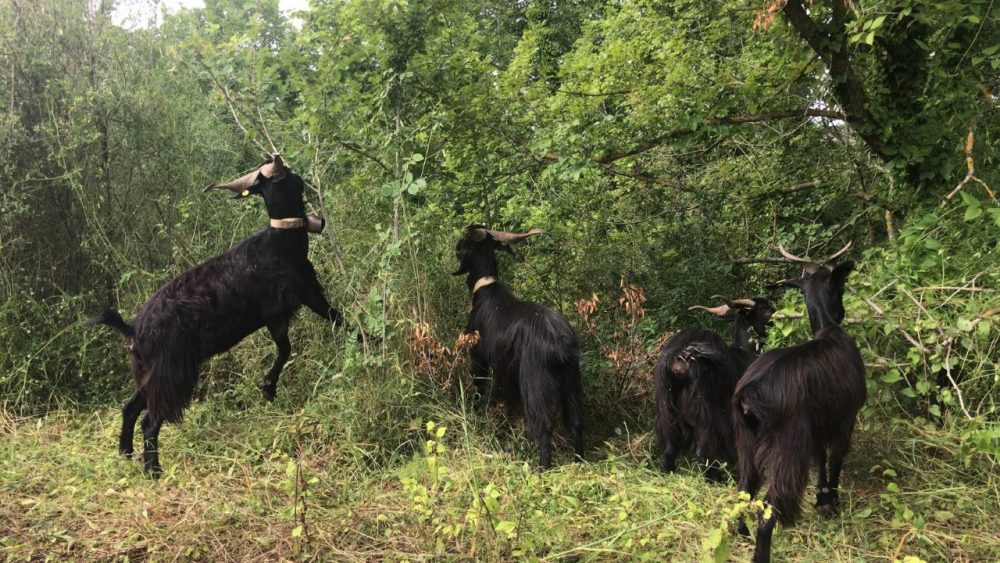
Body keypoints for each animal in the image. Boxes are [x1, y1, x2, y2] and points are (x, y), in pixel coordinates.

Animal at [90, 156, 348, 478]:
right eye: (286, 176)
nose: (277, 158)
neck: (280, 244)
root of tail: (134, 327)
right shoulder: (277, 312)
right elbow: (286, 349)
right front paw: (269, 387)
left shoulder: (310, 294)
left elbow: (339, 319)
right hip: (172, 372)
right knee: (150, 421)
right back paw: (153, 470)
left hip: (149, 372)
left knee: (130, 407)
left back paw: (125, 453)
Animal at [456, 226, 584, 472]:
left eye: (465, 241)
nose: (456, 247)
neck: (485, 289)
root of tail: (562, 342)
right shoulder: (507, 373)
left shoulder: (480, 360)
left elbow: (479, 390)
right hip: (572, 383)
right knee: (576, 422)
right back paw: (580, 461)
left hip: (535, 383)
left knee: (544, 425)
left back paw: (543, 468)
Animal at [652, 300, 776, 480]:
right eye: (766, 310)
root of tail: (679, 360)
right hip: (706, 413)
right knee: (704, 449)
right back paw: (714, 479)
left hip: (667, 410)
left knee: (670, 446)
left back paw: (668, 474)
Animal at [736, 242, 868, 563]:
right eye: (840, 284)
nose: (843, 311)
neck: (829, 329)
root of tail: (749, 394)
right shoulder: (846, 418)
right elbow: (836, 457)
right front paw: (833, 500)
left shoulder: (816, 425)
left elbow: (820, 456)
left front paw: (822, 498)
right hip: (787, 451)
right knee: (768, 511)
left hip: (746, 444)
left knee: (743, 491)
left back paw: (741, 533)